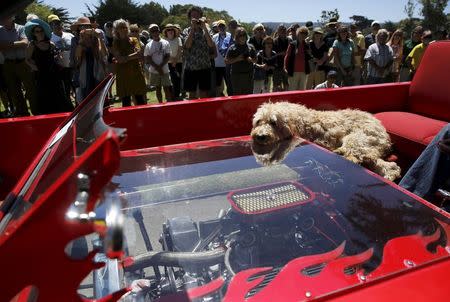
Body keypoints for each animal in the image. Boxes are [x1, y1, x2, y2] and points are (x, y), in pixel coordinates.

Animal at [251, 101, 402, 182]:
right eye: (259, 121)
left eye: (273, 123)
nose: (260, 136)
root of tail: (383, 130)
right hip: (368, 148)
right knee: (389, 166)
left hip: (356, 139)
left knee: (353, 157)